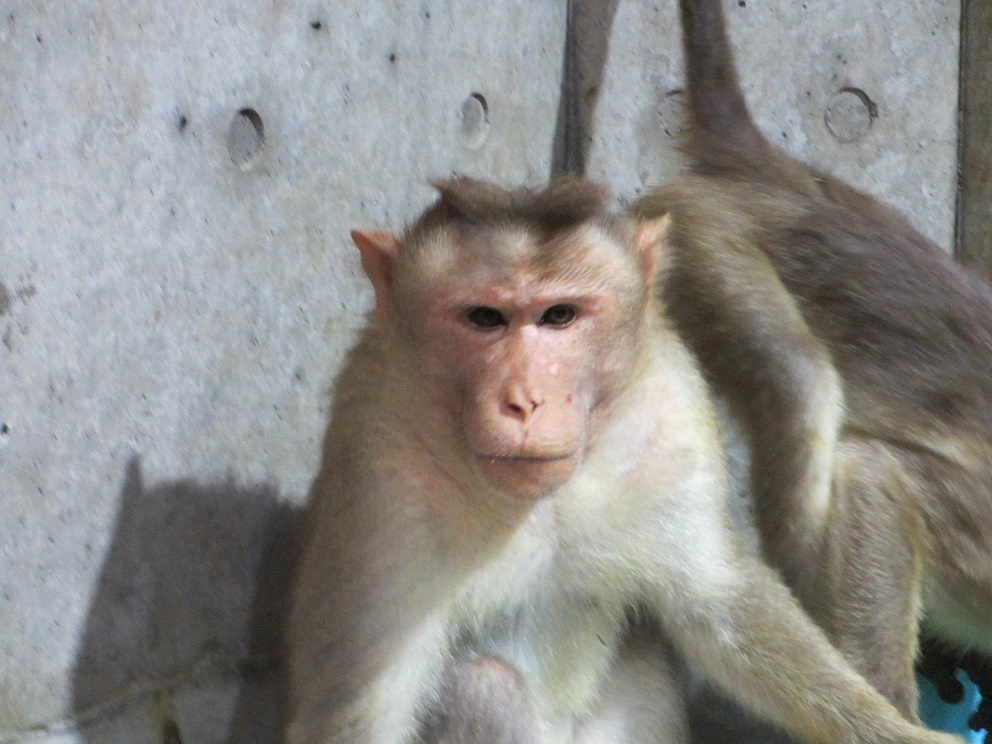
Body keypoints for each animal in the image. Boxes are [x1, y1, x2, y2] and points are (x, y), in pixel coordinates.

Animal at [280, 176, 960, 744]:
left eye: (559, 316)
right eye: (484, 318)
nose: (523, 401)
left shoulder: (673, 404)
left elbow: (719, 600)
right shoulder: (378, 458)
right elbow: (359, 713)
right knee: (483, 687)